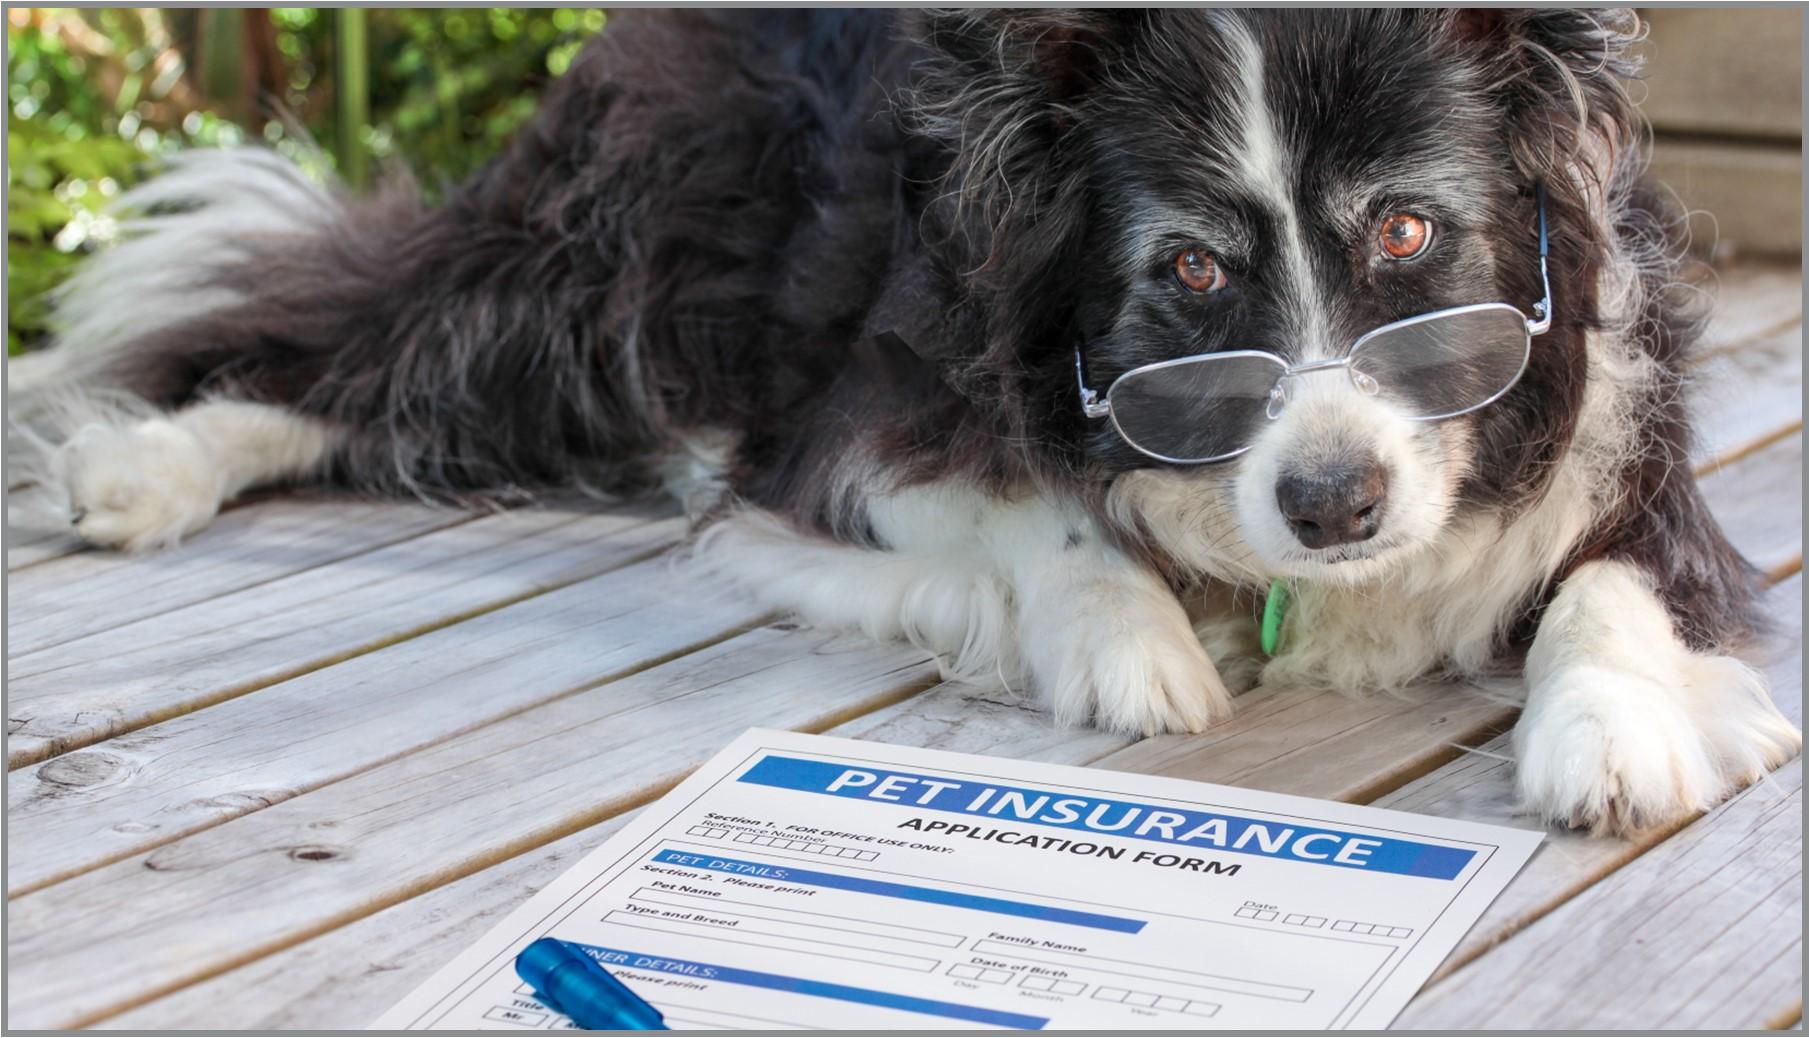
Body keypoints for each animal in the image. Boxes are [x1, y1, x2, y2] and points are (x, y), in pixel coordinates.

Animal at [10, 10, 1794, 839]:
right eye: (1190, 270)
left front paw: (1608, 729)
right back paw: (146, 464)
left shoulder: (1635, 440)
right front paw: (1127, 640)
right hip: (613, 270)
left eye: (1412, 234)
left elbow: (1617, 580)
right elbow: (1029, 506)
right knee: (360, 337)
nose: (1333, 503)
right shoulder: (852, 415)